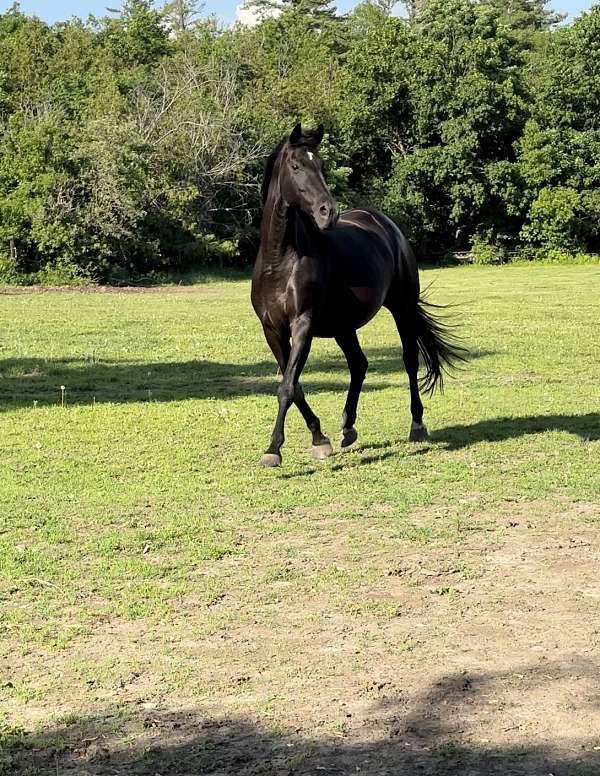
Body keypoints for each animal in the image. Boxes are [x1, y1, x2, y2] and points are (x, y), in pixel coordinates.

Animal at [251, 123, 465, 467]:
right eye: (296, 166)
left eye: (322, 165)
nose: (328, 212)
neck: (280, 261)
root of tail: (387, 224)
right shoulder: (272, 330)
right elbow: (293, 385)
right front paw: (319, 439)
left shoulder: (303, 325)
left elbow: (287, 387)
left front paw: (273, 450)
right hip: (344, 326)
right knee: (359, 365)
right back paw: (348, 427)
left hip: (402, 308)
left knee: (409, 360)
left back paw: (417, 424)